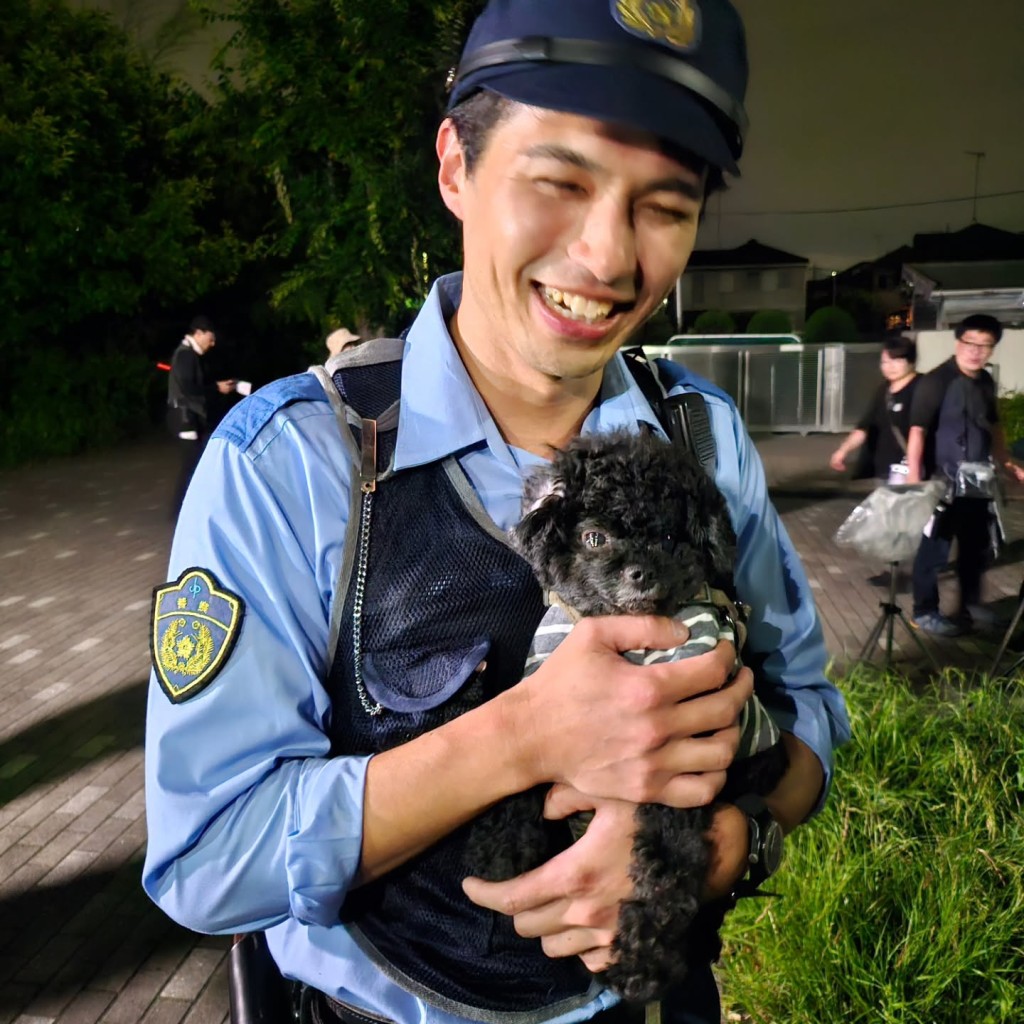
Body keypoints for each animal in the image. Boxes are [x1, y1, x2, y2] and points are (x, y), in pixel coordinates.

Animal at [466, 428, 790, 1003]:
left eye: (670, 538)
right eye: (594, 537)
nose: (640, 572)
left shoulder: (682, 759)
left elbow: (664, 866)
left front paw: (642, 965)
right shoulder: (546, 689)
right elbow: (530, 753)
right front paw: (499, 842)